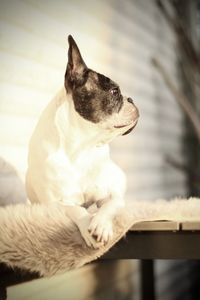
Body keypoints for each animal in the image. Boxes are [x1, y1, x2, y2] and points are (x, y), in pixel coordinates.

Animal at [25, 35, 139, 248]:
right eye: (114, 91)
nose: (132, 99)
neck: (81, 148)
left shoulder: (111, 195)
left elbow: (112, 204)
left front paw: (101, 224)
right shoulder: (55, 204)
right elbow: (77, 209)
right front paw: (87, 225)